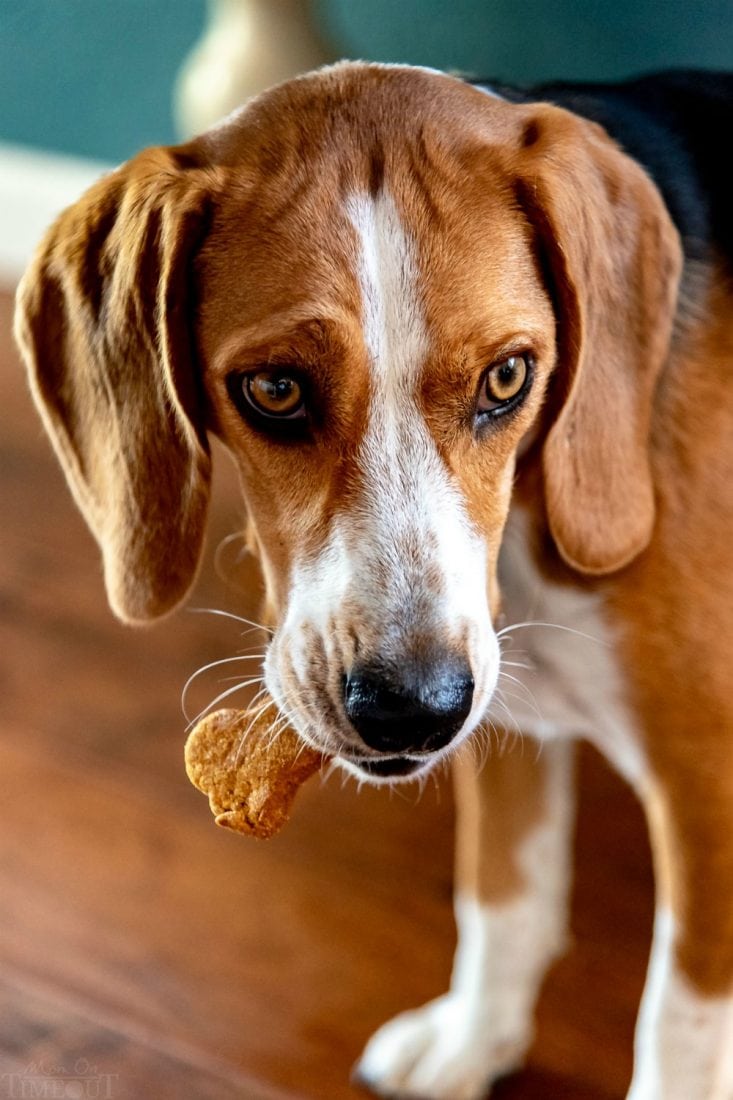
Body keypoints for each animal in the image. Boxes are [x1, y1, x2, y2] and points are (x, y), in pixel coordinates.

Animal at [14, 62, 730, 1100]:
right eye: (274, 389)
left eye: (508, 378)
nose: (410, 709)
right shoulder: (512, 718)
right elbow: (503, 901)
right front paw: (472, 1043)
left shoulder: (706, 783)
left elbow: (679, 1030)